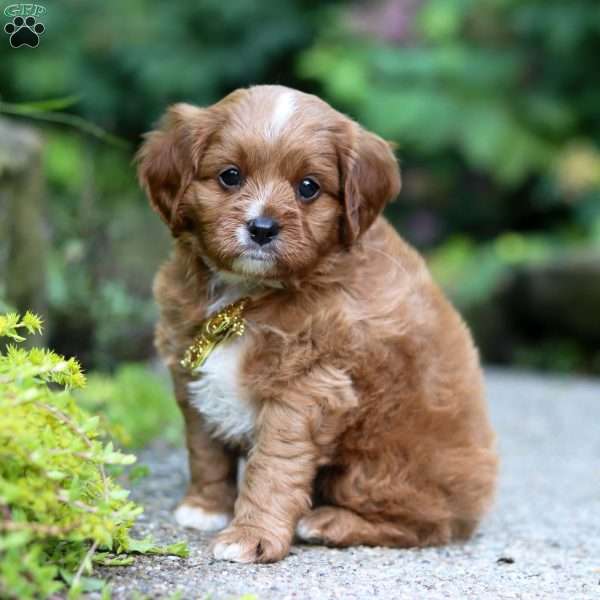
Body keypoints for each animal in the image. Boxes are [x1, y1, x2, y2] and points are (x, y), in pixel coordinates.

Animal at [136, 83, 496, 564]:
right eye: (230, 176)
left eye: (308, 187)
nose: (262, 228)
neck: (249, 295)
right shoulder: (188, 366)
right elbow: (204, 446)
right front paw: (205, 506)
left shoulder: (311, 386)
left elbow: (273, 467)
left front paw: (249, 536)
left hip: (379, 464)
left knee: (427, 524)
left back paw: (328, 522)